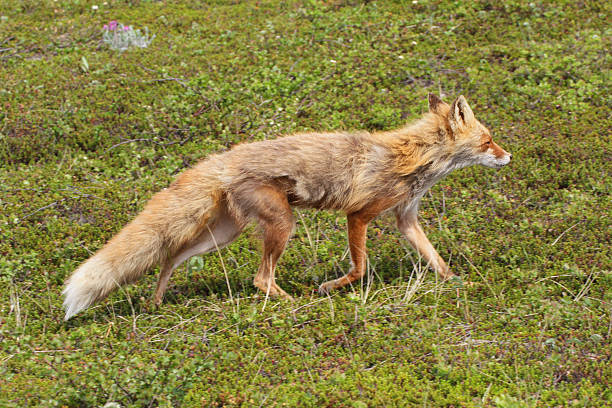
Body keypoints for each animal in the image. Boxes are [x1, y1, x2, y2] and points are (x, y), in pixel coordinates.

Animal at [62, 94, 512, 320]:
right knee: (260, 278)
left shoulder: (405, 218)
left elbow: (435, 259)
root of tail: (224, 159)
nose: (509, 156)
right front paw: (331, 288)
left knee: (171, 256)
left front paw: (457, 283)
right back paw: (293, 302)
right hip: (282, 223)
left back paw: (155, 302)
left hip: (222, 235)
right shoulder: (359, 215)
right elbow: (360, 267)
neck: (414, 156)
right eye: (489, 141)